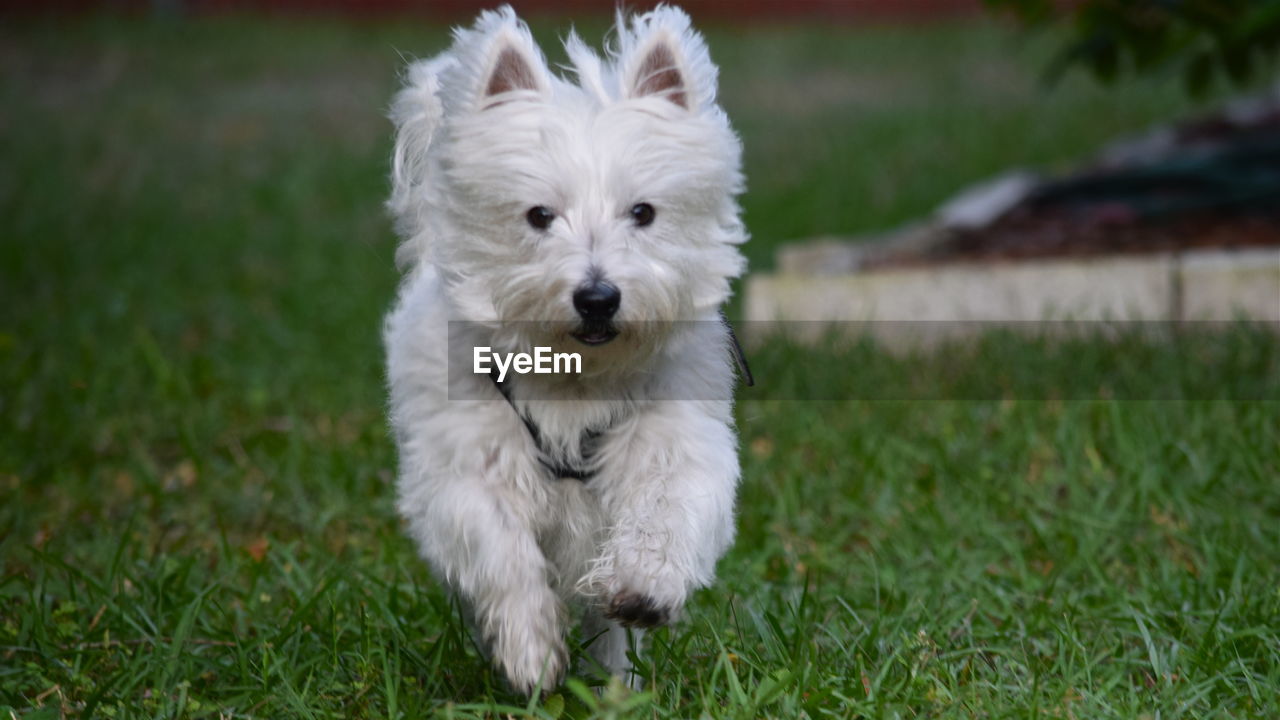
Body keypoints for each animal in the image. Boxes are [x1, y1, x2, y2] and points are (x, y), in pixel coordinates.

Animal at [378, 2, 747, 691]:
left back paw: (616, 682)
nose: (598, 296)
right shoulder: (469, 469)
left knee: (608, 631)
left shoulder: (675, 439)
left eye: (643, 212)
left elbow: (667, 507)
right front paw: (529, 651)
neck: (578, 377)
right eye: (539, 216)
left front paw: (643, 588)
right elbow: (502, 552)